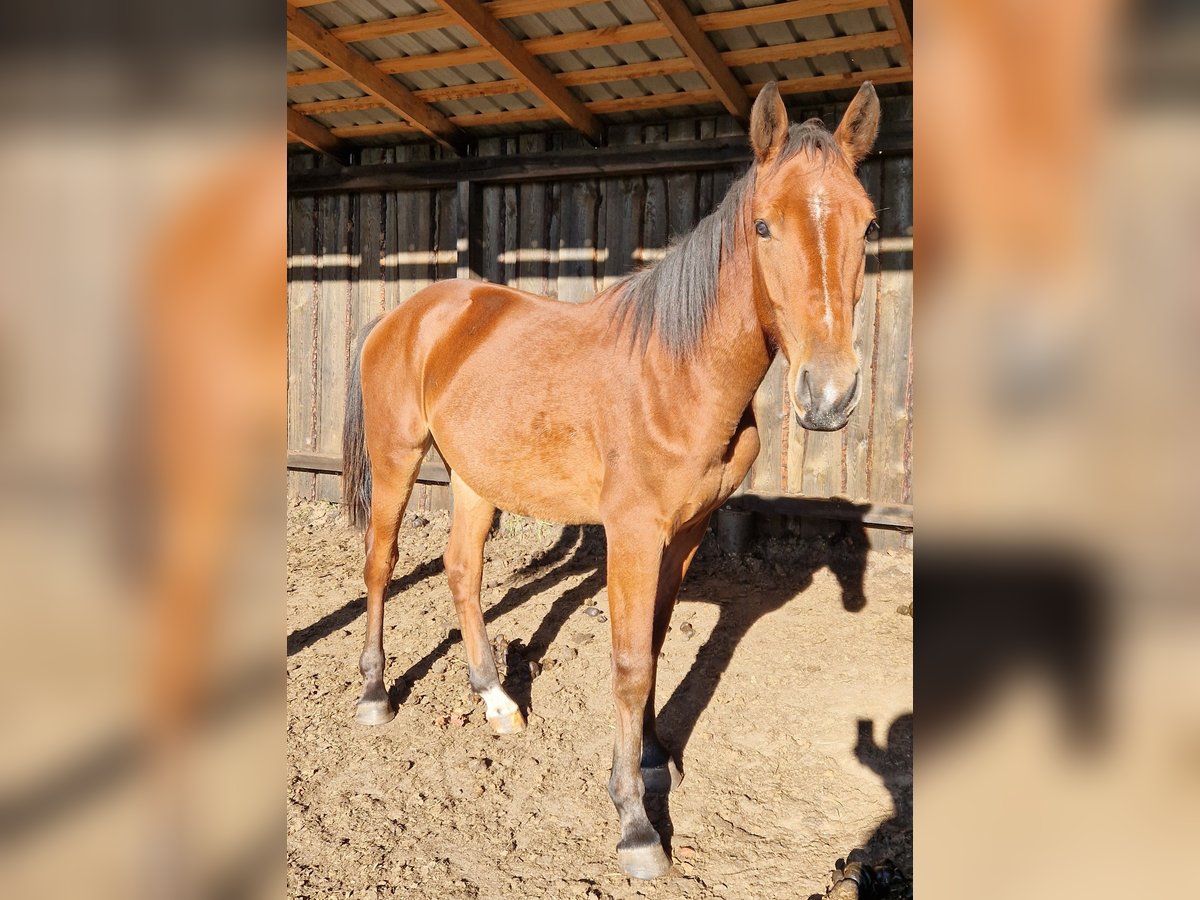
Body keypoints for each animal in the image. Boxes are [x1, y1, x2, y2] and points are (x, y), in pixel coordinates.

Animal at [343, 81, 878, 878]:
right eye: (763, 226)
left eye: (869, 225)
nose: (830, 395)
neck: (677, 371)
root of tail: (405, 315)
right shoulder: (632, 533)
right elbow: (628, 664)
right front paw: (634, 822)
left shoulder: (684, 535)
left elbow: (654, 644)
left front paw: (656, 759)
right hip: (397, 461)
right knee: (382, 565)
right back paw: (376, 692)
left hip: (476, 477)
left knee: (463, 570)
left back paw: (495, 699)